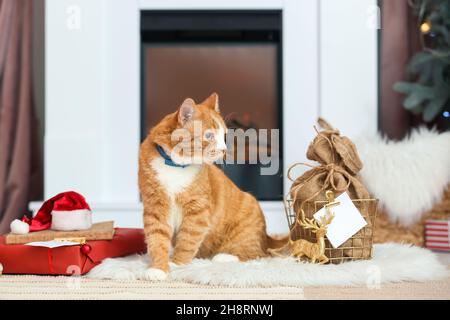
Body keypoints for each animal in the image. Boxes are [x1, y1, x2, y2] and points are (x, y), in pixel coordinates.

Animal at [139, 92, 284, 280]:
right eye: (209, 136)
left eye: (224, 135)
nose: (224, 149)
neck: (174, 166)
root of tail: (267, 237)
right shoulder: (155, 206)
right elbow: (157, 239)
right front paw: (159, 268)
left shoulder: (198, 210)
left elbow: (187, 240)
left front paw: (177, 264)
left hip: (248, 220)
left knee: (257, 254)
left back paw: (225, 257)